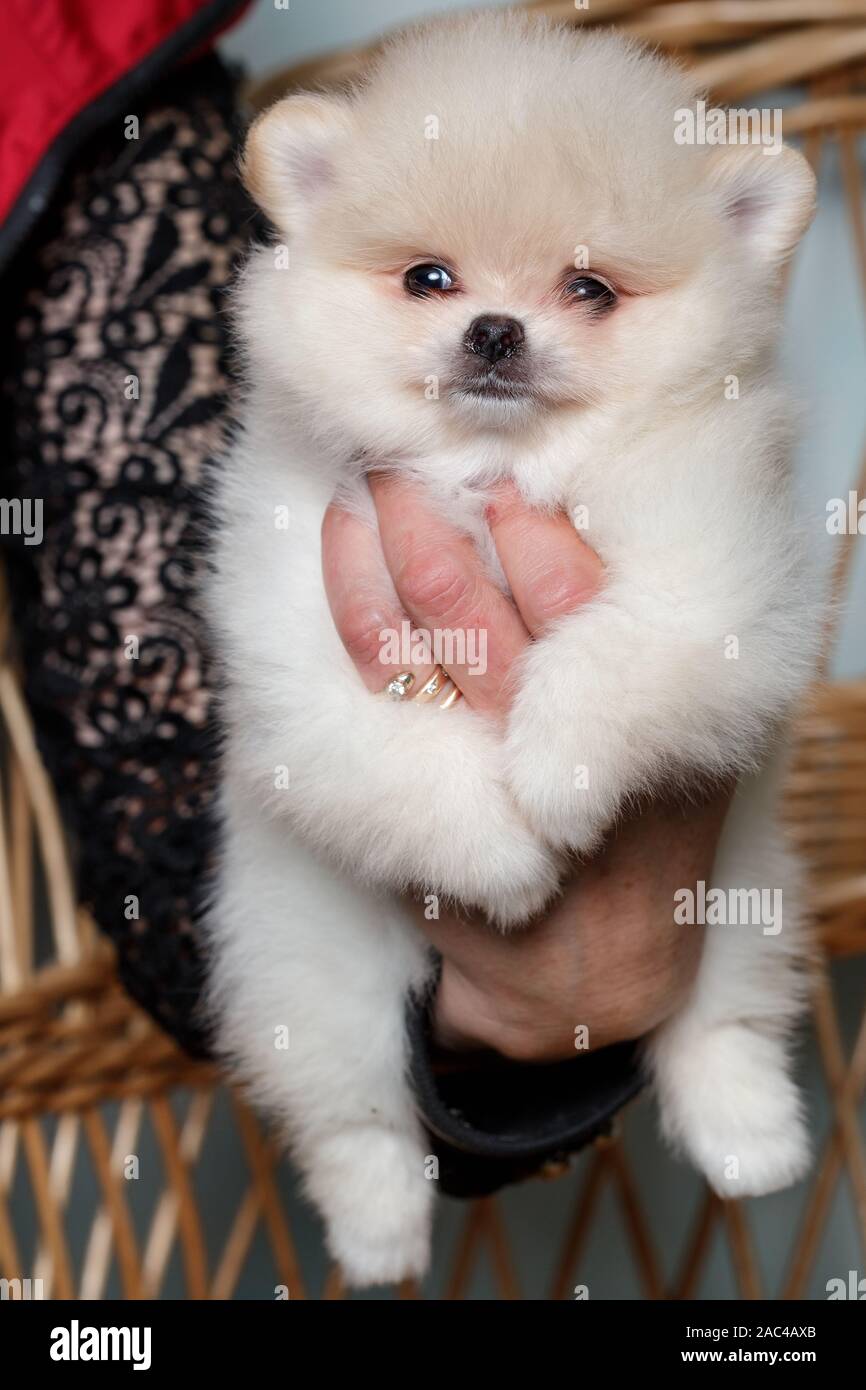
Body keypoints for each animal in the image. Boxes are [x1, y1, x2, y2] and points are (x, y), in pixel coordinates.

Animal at [207, 13, 822, 1289]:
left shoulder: (723, 571)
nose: (493, 328)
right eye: (425, 277)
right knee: (356, 1121)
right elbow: (388, 743)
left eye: (588, 287)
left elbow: (612, 649)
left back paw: (752, 1141)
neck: (490, 477)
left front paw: (551, 777)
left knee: (715, 1027)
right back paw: (378, 1234)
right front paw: (501, 858)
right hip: (314, 980)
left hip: (737, 903)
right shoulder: (293, 636)